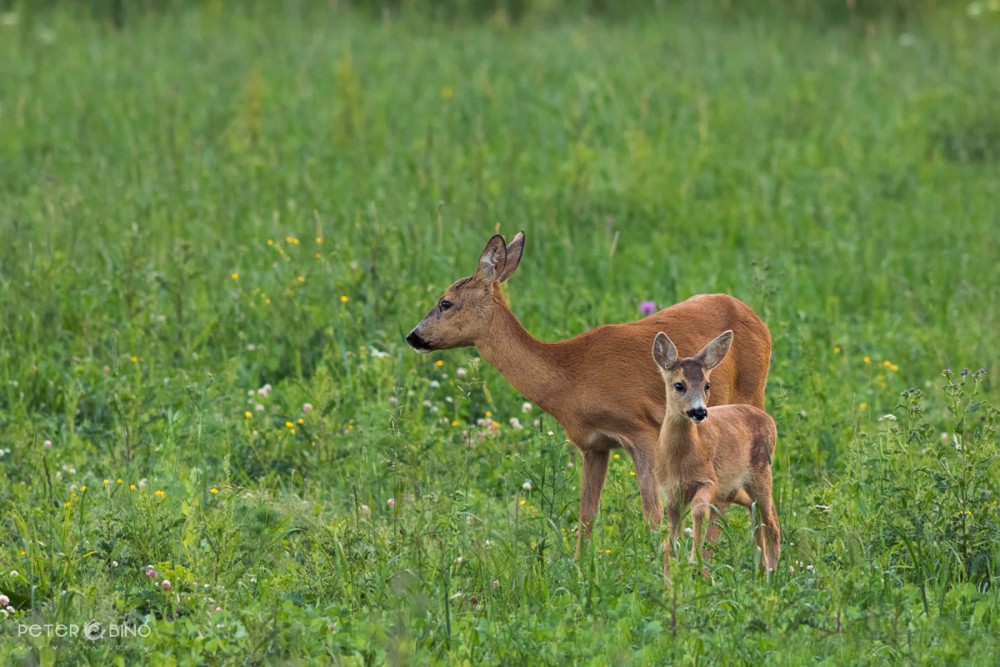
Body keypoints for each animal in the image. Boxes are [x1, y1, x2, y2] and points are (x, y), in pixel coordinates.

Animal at [402, 232, 768, 556]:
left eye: (445, 303)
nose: (413, 336)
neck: (571, 378)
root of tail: (759, 320)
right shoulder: (593, 445)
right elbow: (586, 515)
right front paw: (580, 568)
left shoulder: (642, 431)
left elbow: (653, 514)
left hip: (752, 393)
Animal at [652, 332, 784, 580]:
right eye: (679, 385)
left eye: (707, 385)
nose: (699, 412)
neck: (679, 460)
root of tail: (770, 420)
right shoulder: (671, 493)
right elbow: (671, 537)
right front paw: (670, 574)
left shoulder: (710, 480)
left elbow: (698, 509)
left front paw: (693, 560)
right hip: (735, 487)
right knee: (754, 511)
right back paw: (760, 568)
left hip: (761, 472)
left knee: (772, 519)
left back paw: (772, 572)